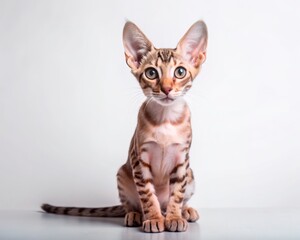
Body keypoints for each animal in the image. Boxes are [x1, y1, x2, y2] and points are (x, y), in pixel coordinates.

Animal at [41, 19, 207, 233]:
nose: (167, 89)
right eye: (151, 73)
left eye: (180, 72)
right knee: (132, 204)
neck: (166, 119)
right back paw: (137, 215)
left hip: (190, 172)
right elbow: (148, 196)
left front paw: (175, 216)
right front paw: (153, 219)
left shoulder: (181, 160)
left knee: (173, 200)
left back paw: (183, 211)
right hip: (122, 173)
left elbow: (177, 194)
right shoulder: (139, 160)